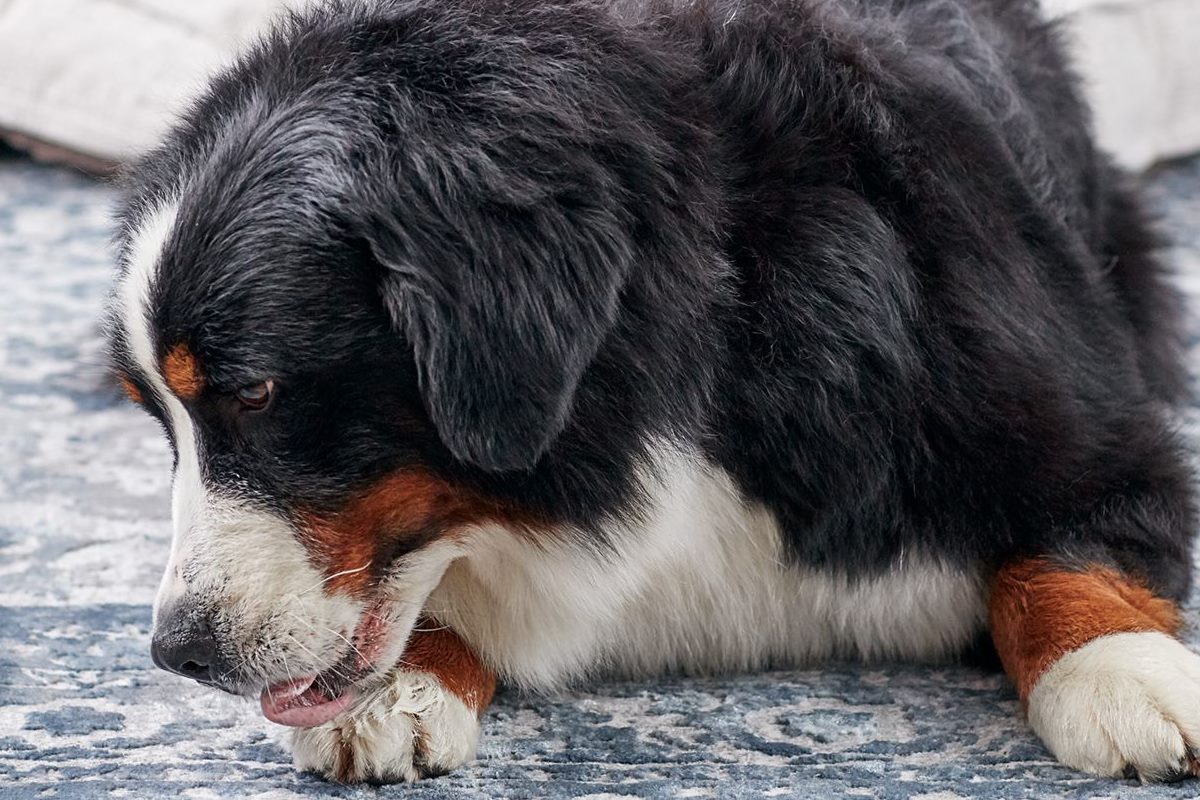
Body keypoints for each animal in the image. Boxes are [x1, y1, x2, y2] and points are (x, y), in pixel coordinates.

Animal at [103, 0, 1200, 786]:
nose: (179, 650)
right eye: (161, 417)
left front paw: (1123, 672)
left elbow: (1069, 547)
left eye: (255, 393)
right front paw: (405, 687)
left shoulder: (1077, 419)